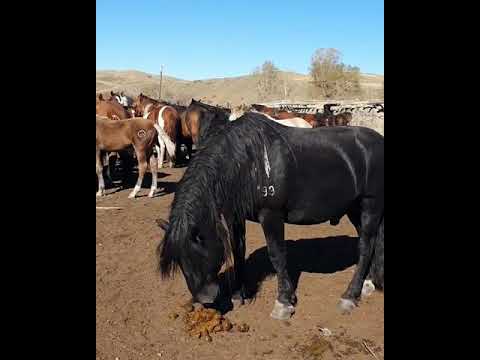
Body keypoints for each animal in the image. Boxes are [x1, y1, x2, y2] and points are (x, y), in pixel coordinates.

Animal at [156, 112, 384, 320]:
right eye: (180, 260)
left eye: (198, 251)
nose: (205, 298)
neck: (248, 163)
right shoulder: (235, 217)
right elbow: (238, 250)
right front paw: (240, 293)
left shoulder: (271, 215)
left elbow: (277, 254)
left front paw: (283, 303)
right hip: (355, 208)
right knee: (373, 242)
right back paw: (369, 283)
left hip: (370, 204)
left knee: (365, 247)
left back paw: (350, 296)